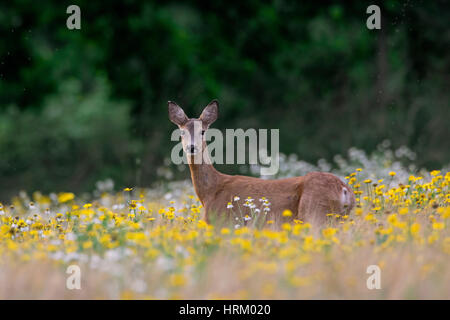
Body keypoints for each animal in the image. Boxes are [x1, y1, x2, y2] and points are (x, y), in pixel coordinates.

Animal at [169, 100, 356, 228]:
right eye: (181, 132)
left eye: (202, 131)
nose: (191, 147)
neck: (210, 192)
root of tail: (344, 190)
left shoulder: (224, 223)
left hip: (315, 214)